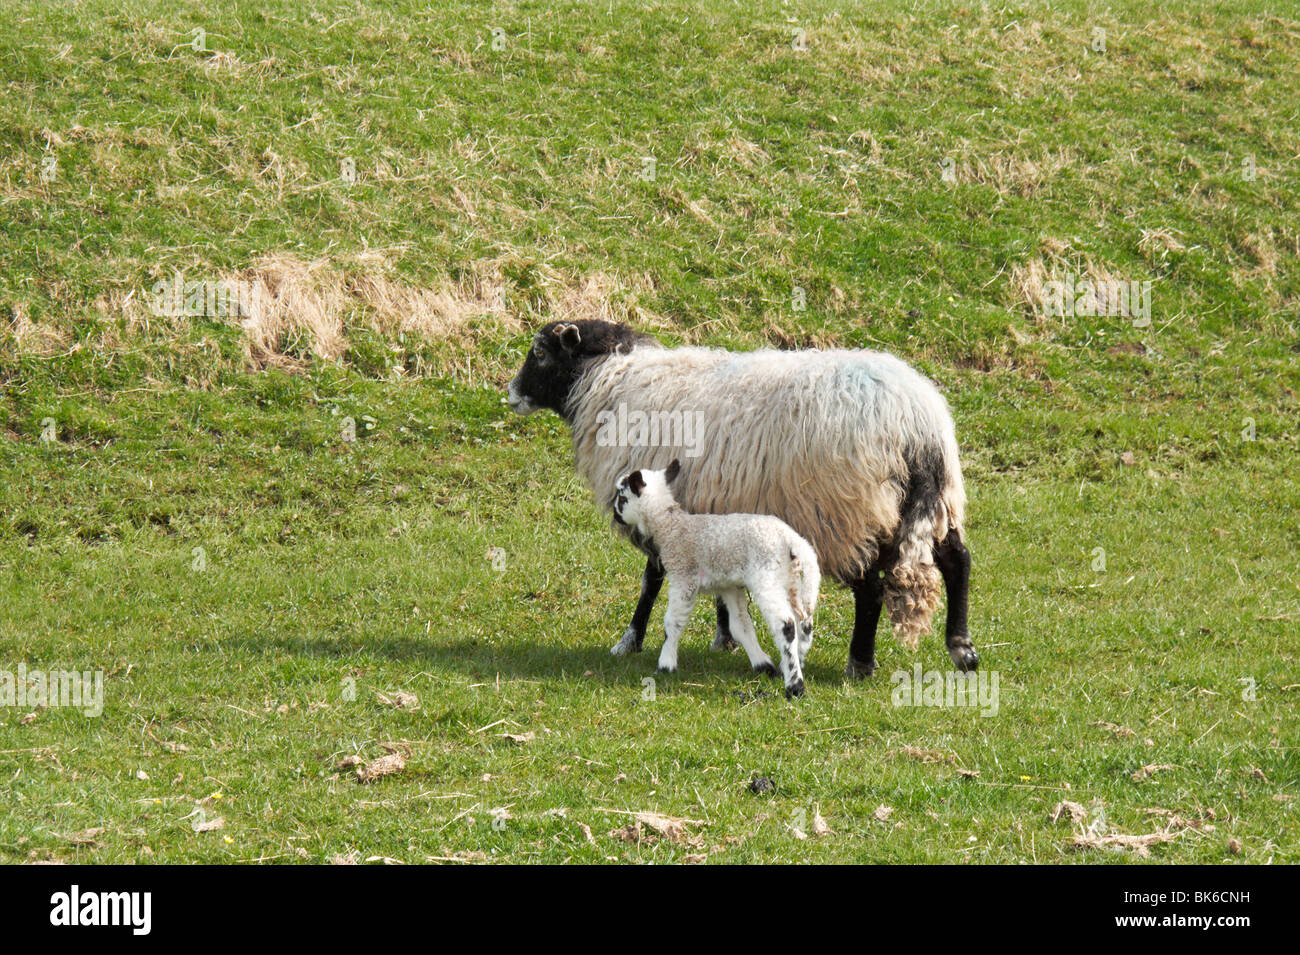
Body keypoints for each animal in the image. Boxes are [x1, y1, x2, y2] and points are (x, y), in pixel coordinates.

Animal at [611, 459, 816, 696]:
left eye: (622, 497)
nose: (615, 516)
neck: (671, 526)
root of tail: (792, 539)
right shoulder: (730, 587)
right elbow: (741, 626)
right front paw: (763, 664)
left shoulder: (684, 578)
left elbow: (672, 622)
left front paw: (665, 665)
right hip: (792, 580)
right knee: (804, 623)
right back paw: (794, 665)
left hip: (766, 577)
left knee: (786, 624)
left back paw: (795, 686)